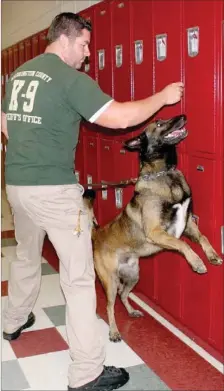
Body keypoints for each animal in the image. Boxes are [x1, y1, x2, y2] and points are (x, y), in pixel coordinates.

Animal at [83, 114, 223, 344]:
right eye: (158, 123)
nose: (183, 116)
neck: (163, 173)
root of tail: (99, 232)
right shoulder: (157, 231)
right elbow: (182, 244)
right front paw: (196, 262)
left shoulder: (188, 222)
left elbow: (203, 237)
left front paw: (211, 256)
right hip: (109, 280)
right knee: (110, 305)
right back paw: (114, 331)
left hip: (133, 275)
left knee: (123, 294)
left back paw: (131, 311)